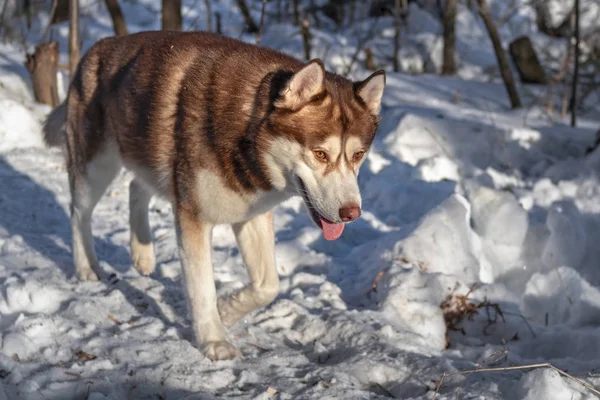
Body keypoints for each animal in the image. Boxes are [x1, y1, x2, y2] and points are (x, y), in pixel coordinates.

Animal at [44, 31, 386, 360]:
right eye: (320, 154)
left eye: (358, 155)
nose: (351, 212)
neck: (248, 134)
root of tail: (97, 47)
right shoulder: (193, 218)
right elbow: (202, 288)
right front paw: (214, 340)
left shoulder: (253, 214)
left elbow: (268, 286)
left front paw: (227, 310)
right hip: (96, 166)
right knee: (79, 212)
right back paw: (87, 267)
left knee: (136, 187)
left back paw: (143, 252)